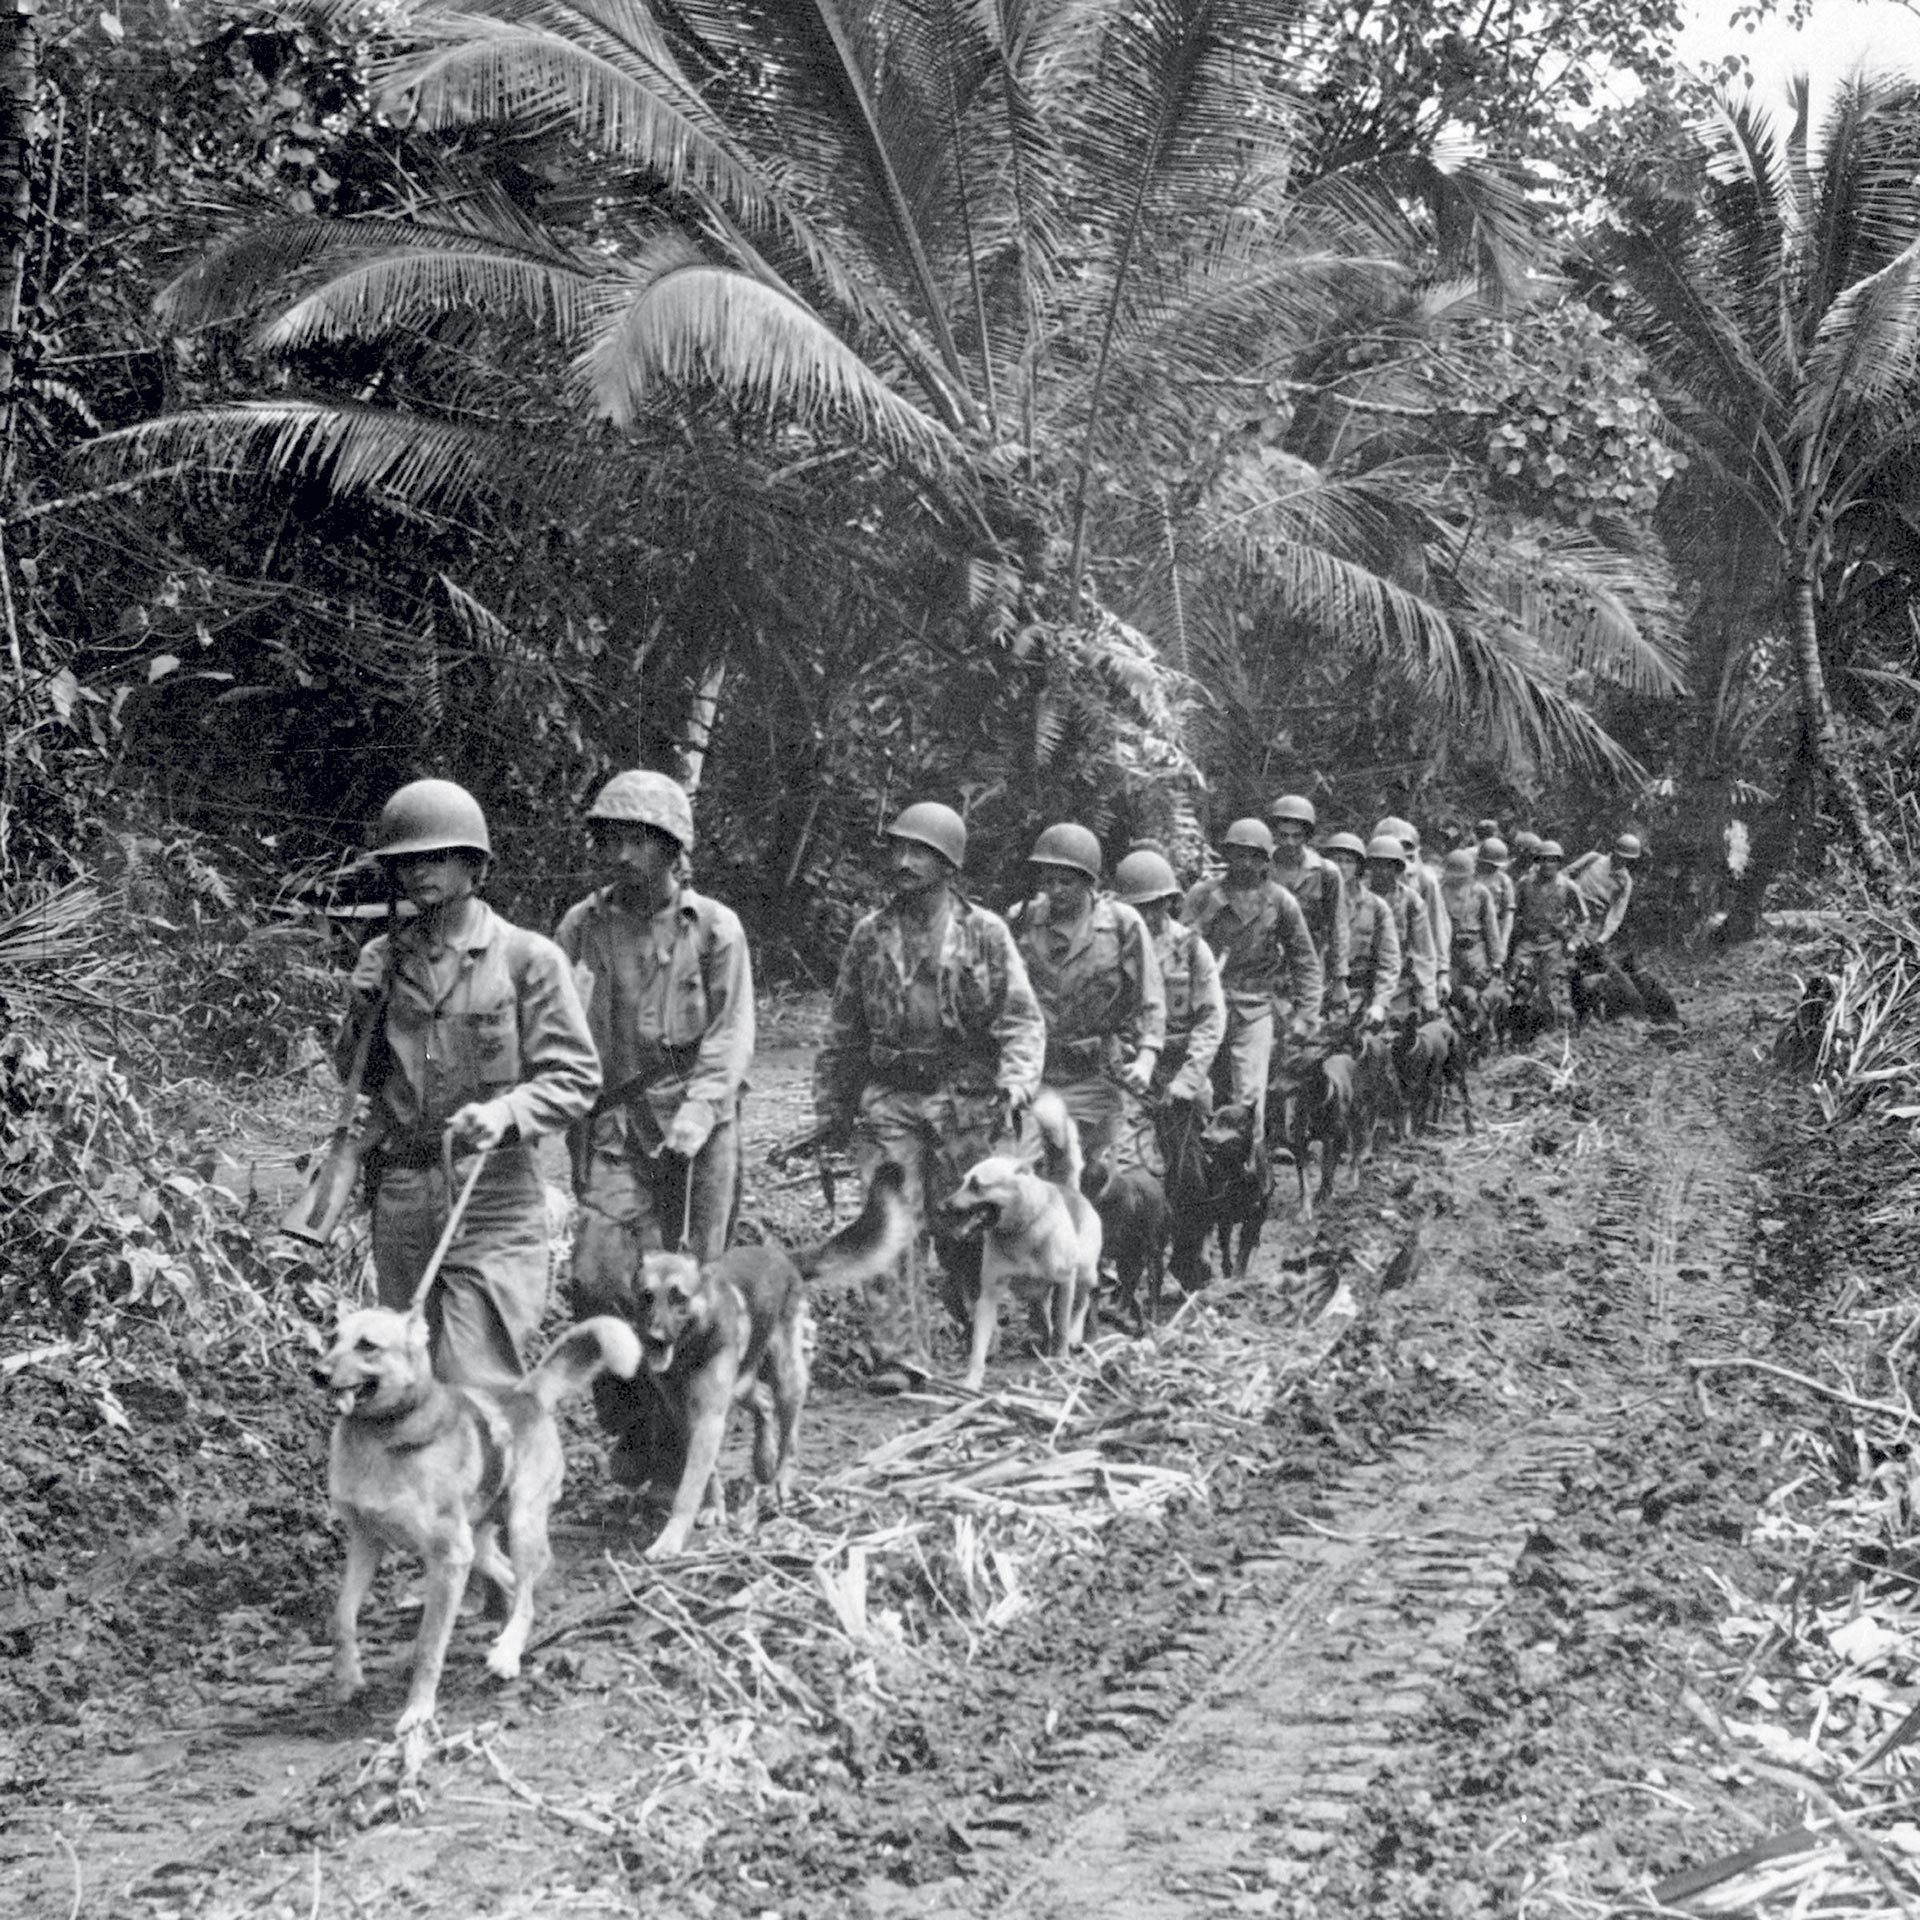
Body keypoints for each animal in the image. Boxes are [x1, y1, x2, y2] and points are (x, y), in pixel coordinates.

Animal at [320, 1313, 637, 1735]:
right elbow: (342, 1617)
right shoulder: (366, 1542)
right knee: (512, 1579)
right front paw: (347, 1678)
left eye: (367, 1345)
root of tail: (526, 1394)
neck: (381, 1436)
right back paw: (510, 1633)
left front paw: (418, 1709)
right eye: (332, 1339)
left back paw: (508, 1652)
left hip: (518, 1526)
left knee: (528, 1590)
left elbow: (428, 1644)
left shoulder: (448, 1558)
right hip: (480, 1544)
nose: (318, 1372)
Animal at [940, 1090, 1098, 1390]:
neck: (1022, 1230)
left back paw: (1072, 1337)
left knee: (1080, 1306)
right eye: (963, 1181)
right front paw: (972, 1381)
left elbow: (1062, 1325)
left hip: (1085, 1274)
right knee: (1043, 1315)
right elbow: (978, 1345)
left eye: (976, 1185)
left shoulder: (1065, 1282)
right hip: (1034, 1293)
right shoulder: (989, 1294)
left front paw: (1061, 1361)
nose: (944, 1206)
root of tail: (1067, 1189)